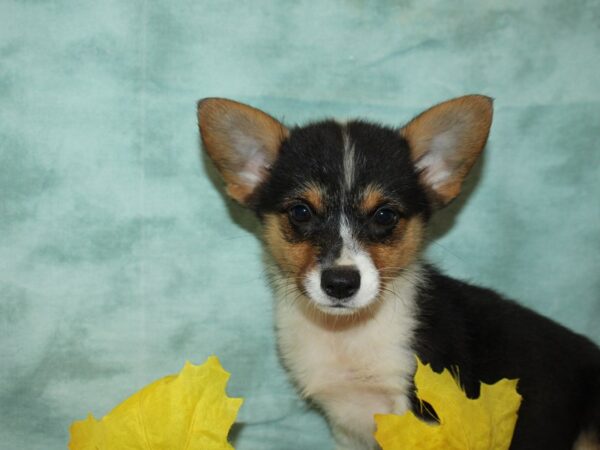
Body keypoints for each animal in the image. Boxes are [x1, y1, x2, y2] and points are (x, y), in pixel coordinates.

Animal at [198, 95, 600, 450]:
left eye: (384, 215)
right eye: (300, 212)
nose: (340, 284)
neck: (347, 334)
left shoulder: (423, 410)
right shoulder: (347, 427)